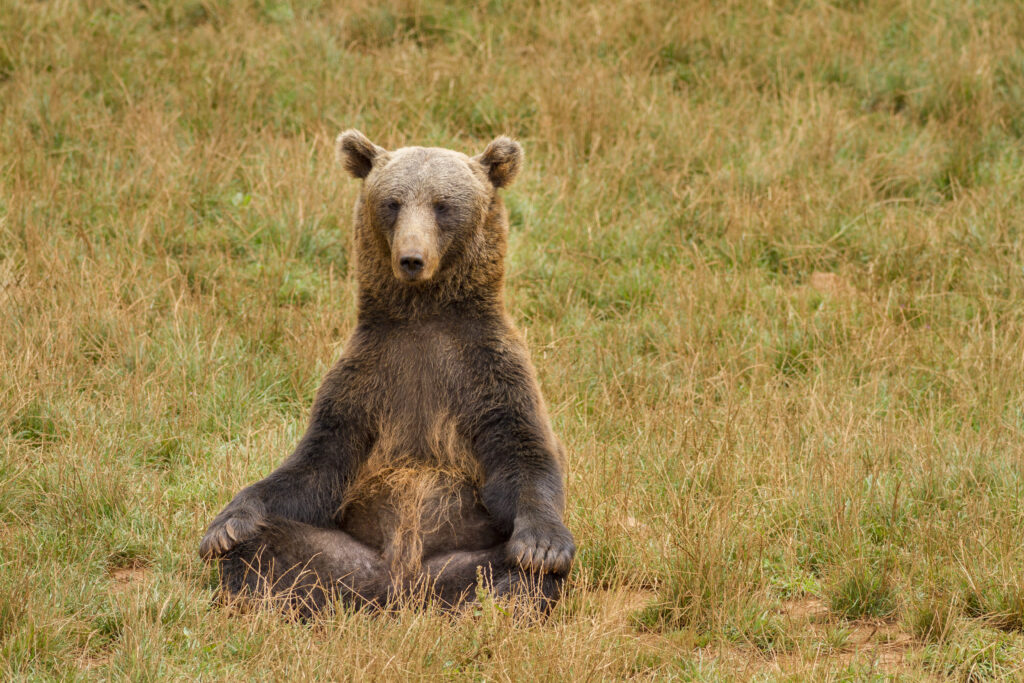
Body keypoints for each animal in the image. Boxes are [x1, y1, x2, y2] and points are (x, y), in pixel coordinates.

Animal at [195, 131, 573, 618]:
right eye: (392, 202)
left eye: (443, 205)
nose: (411, 258)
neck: (424, 316)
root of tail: (399, 590)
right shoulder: (367, 376)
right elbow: (315, 466)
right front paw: (226, 525)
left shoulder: (487, 370)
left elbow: (523, 455)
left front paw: (542, 546)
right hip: (342, 558)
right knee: (268, 552)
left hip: (464, 563)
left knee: (514, 574)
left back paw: (497, 604)